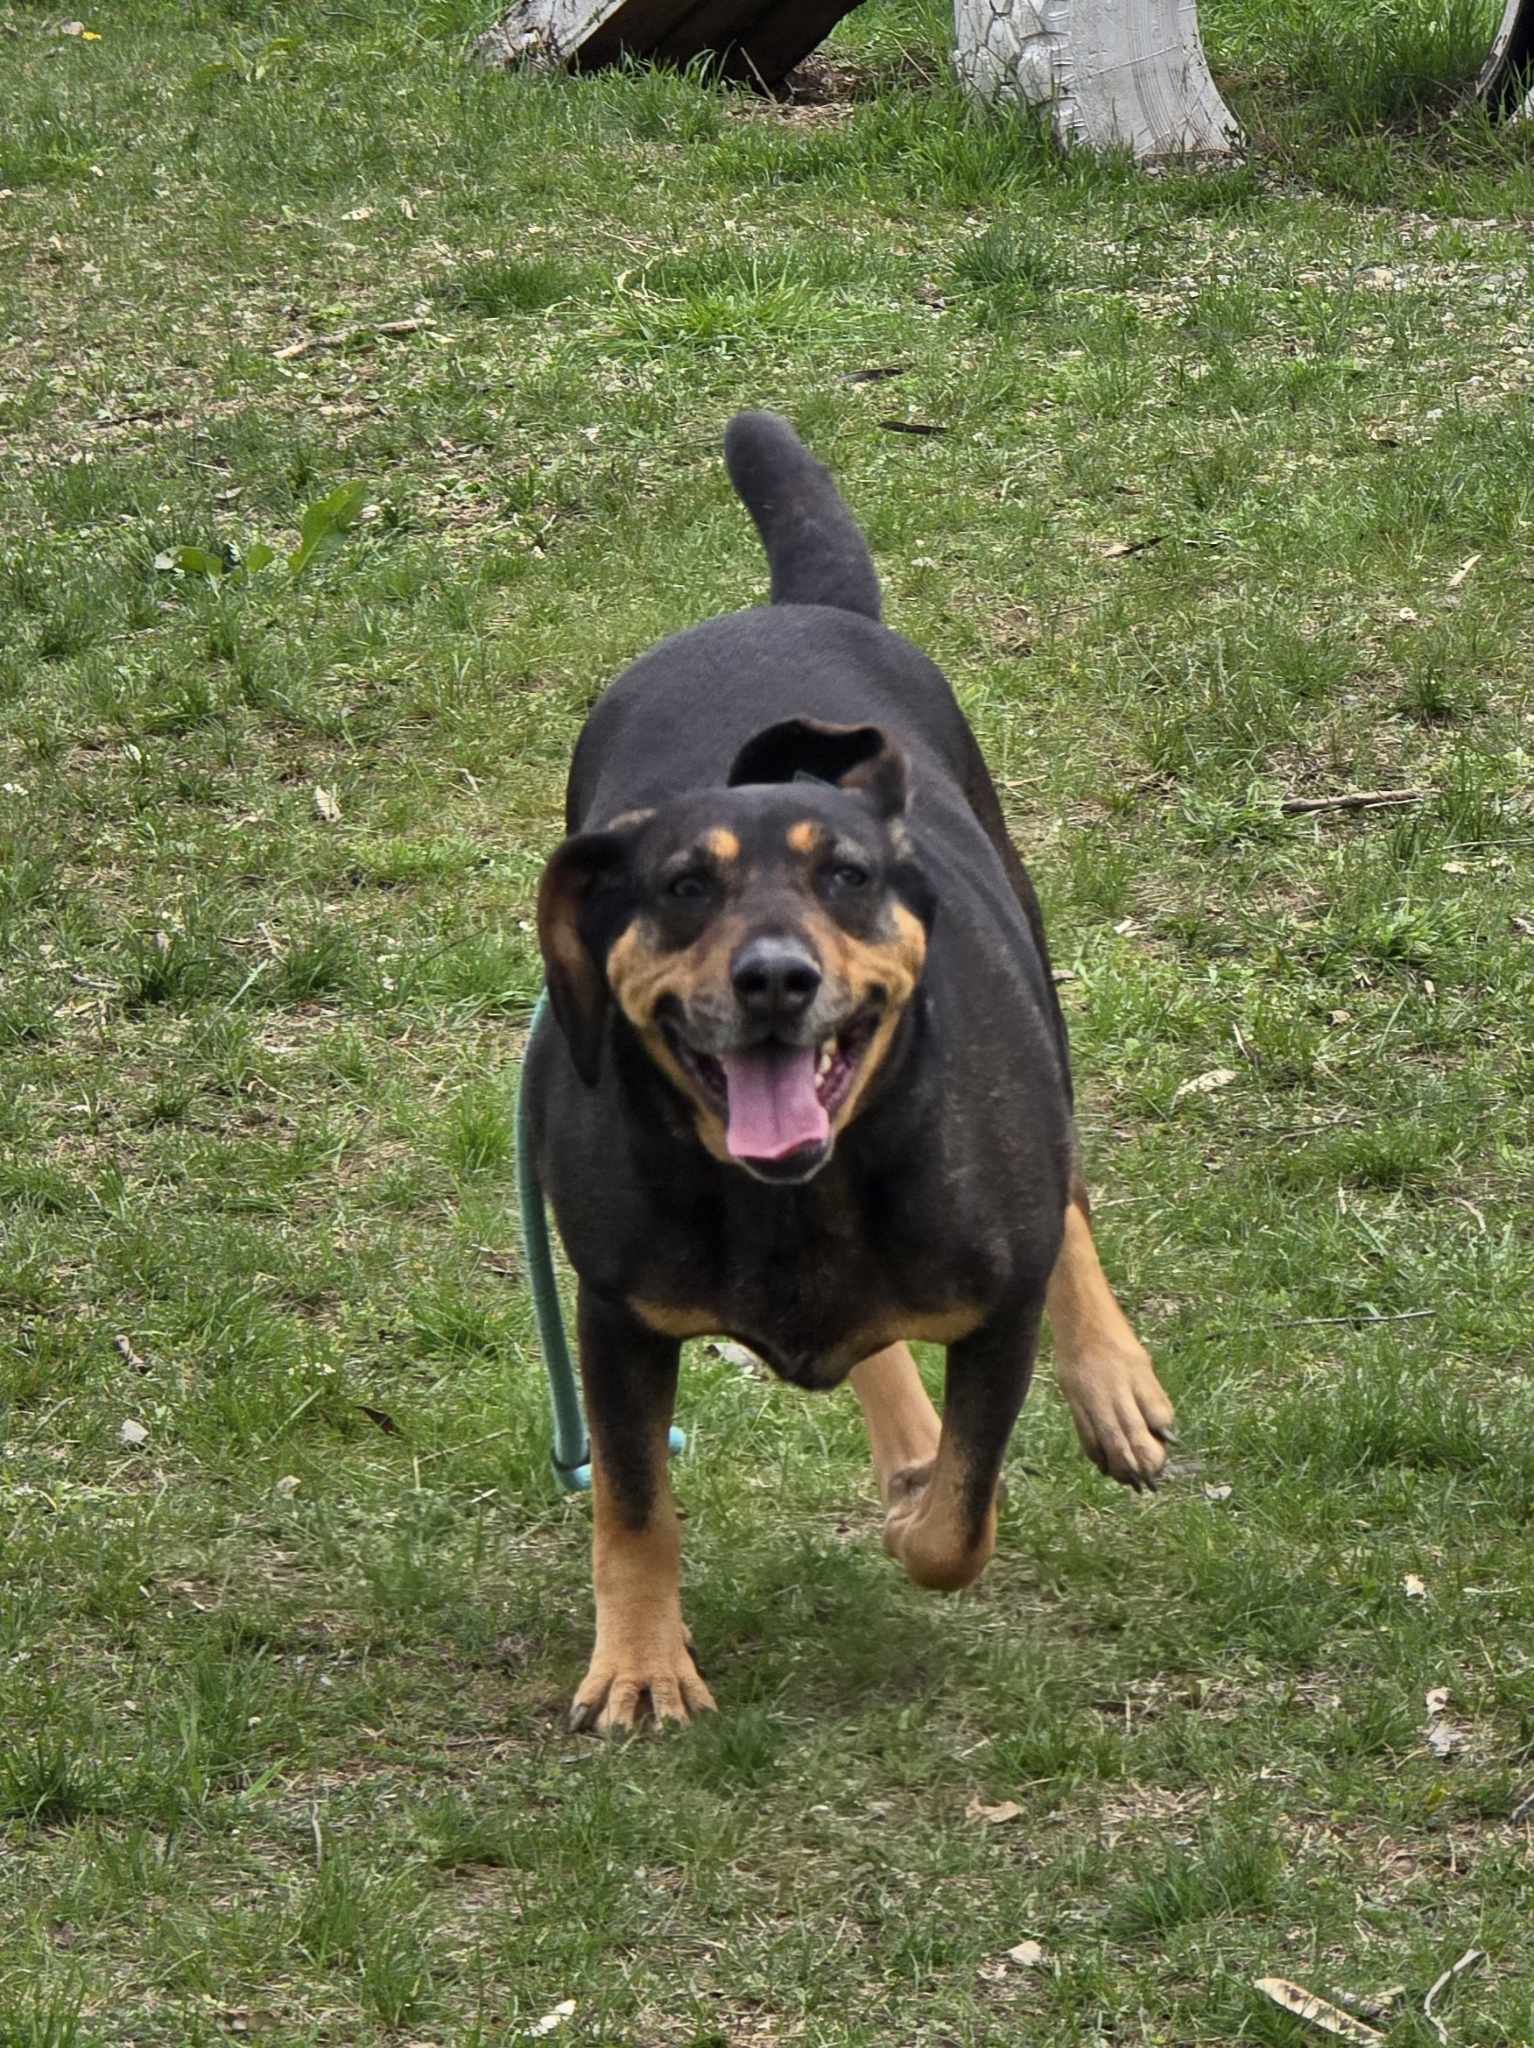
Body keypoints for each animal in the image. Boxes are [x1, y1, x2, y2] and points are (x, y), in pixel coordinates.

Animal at [526, 412, 1175, 1732]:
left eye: (847, 876)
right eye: (684, 885)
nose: (775, 978)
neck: (793, 1204)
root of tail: (784, 607)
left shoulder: (998, 1312)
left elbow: (959, 1520)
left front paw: (928, 1499)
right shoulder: (615, 1316)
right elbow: (632, 1504)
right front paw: (640, 1662)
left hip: (1036, 977)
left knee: (1070, 1192)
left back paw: (1109, 1384)